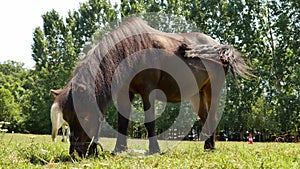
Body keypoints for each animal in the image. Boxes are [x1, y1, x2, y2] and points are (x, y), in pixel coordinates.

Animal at [50, 17, 252, 156]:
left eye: (84, 115)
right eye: (67, 118)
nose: (76, 153)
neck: (129, 50)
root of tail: (219, 48)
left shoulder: (148, 92)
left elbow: (149, 121)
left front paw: (154, 149)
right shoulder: (125, 93)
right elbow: (123, 121)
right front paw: (119, 149)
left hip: (213, 89)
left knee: (213, 116)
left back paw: (211, 147)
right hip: (197, 93)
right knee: (204, 117)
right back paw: (208, 145)